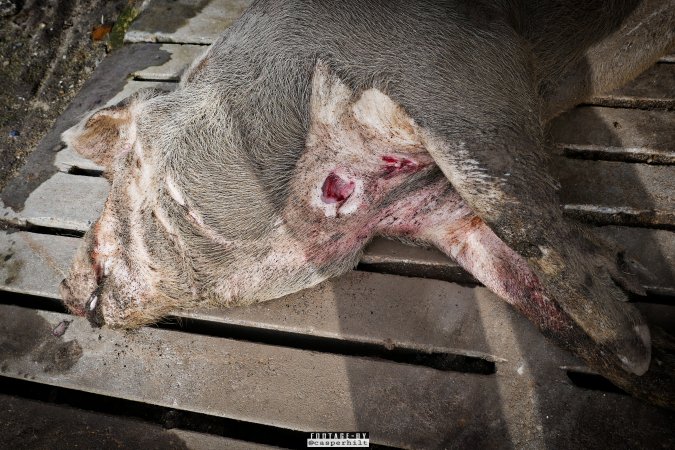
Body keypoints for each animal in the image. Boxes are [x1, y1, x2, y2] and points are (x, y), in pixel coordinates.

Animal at [59, 0, 675, 408]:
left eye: (125, 169)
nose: (63, 289)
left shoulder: (459, 63)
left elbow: (504, 201)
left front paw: (635, 345)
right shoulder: (432, 214)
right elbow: (510, 271)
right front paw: (650, 351)